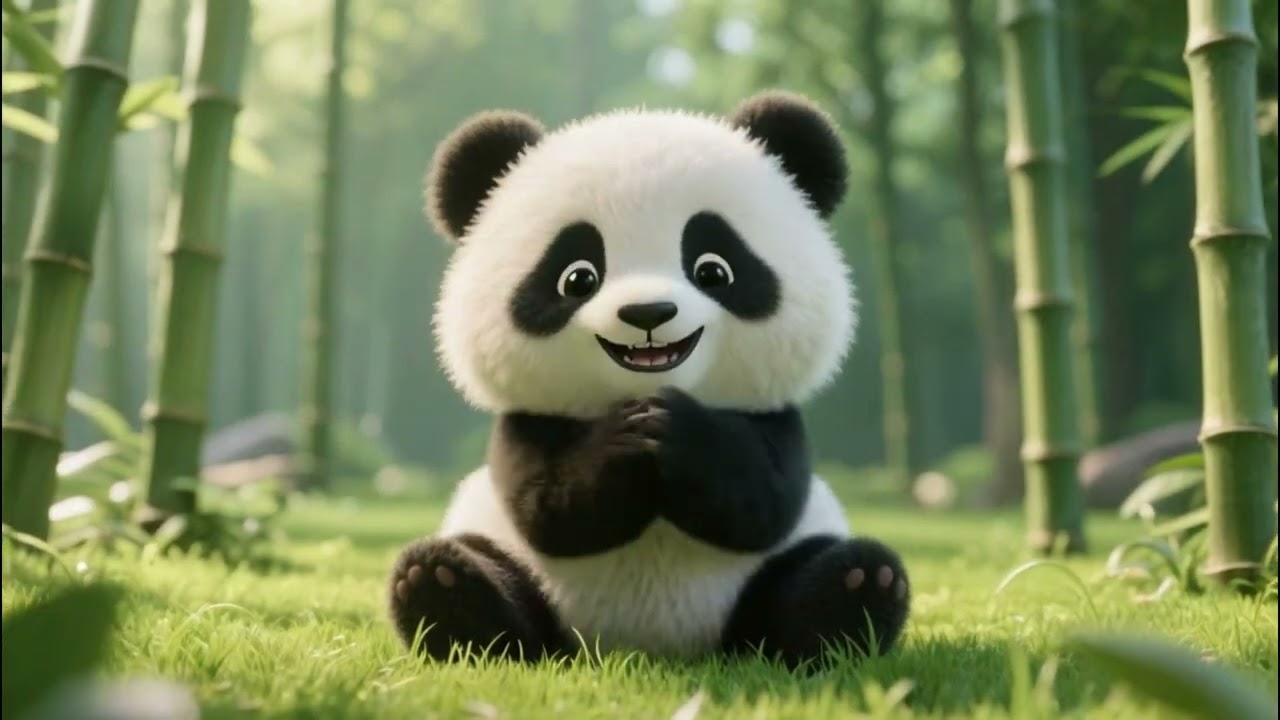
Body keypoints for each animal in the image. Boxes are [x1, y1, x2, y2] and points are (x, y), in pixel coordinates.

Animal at [387, 90, 912, 669]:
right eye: (577, 278)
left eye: (714, 270)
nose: (648, 313)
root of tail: (644, 646)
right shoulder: (527, 420)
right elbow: (547, 508)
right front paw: (622, 439)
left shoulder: (772, 417)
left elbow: (764, 500)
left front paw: (674, 429)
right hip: (514, 560)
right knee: (480, 574)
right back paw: (449, 591)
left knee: (820, 574)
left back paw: (849, 596)